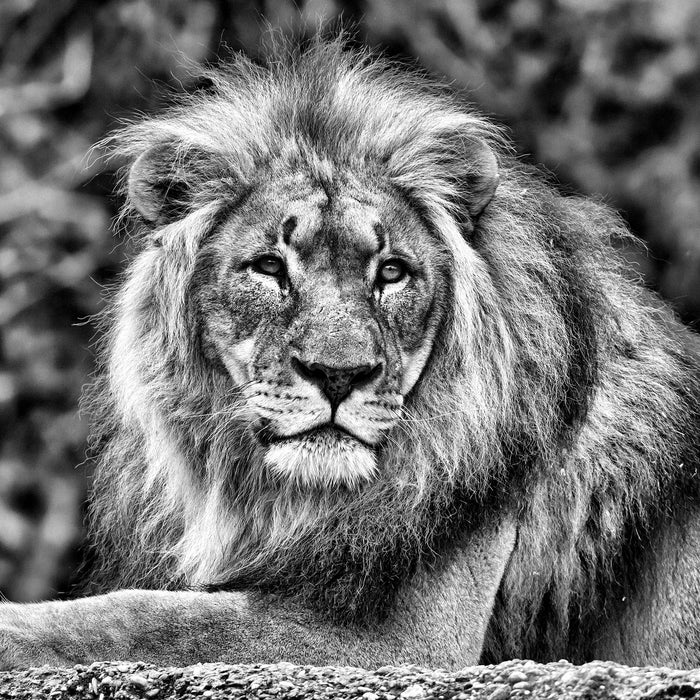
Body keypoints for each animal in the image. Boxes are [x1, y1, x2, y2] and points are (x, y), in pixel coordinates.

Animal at [1, 37, 700, 668]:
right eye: (268, 268)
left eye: (392, 272)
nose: (339, 377)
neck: (278, 499)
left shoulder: (408, 641)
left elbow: (150, 618)